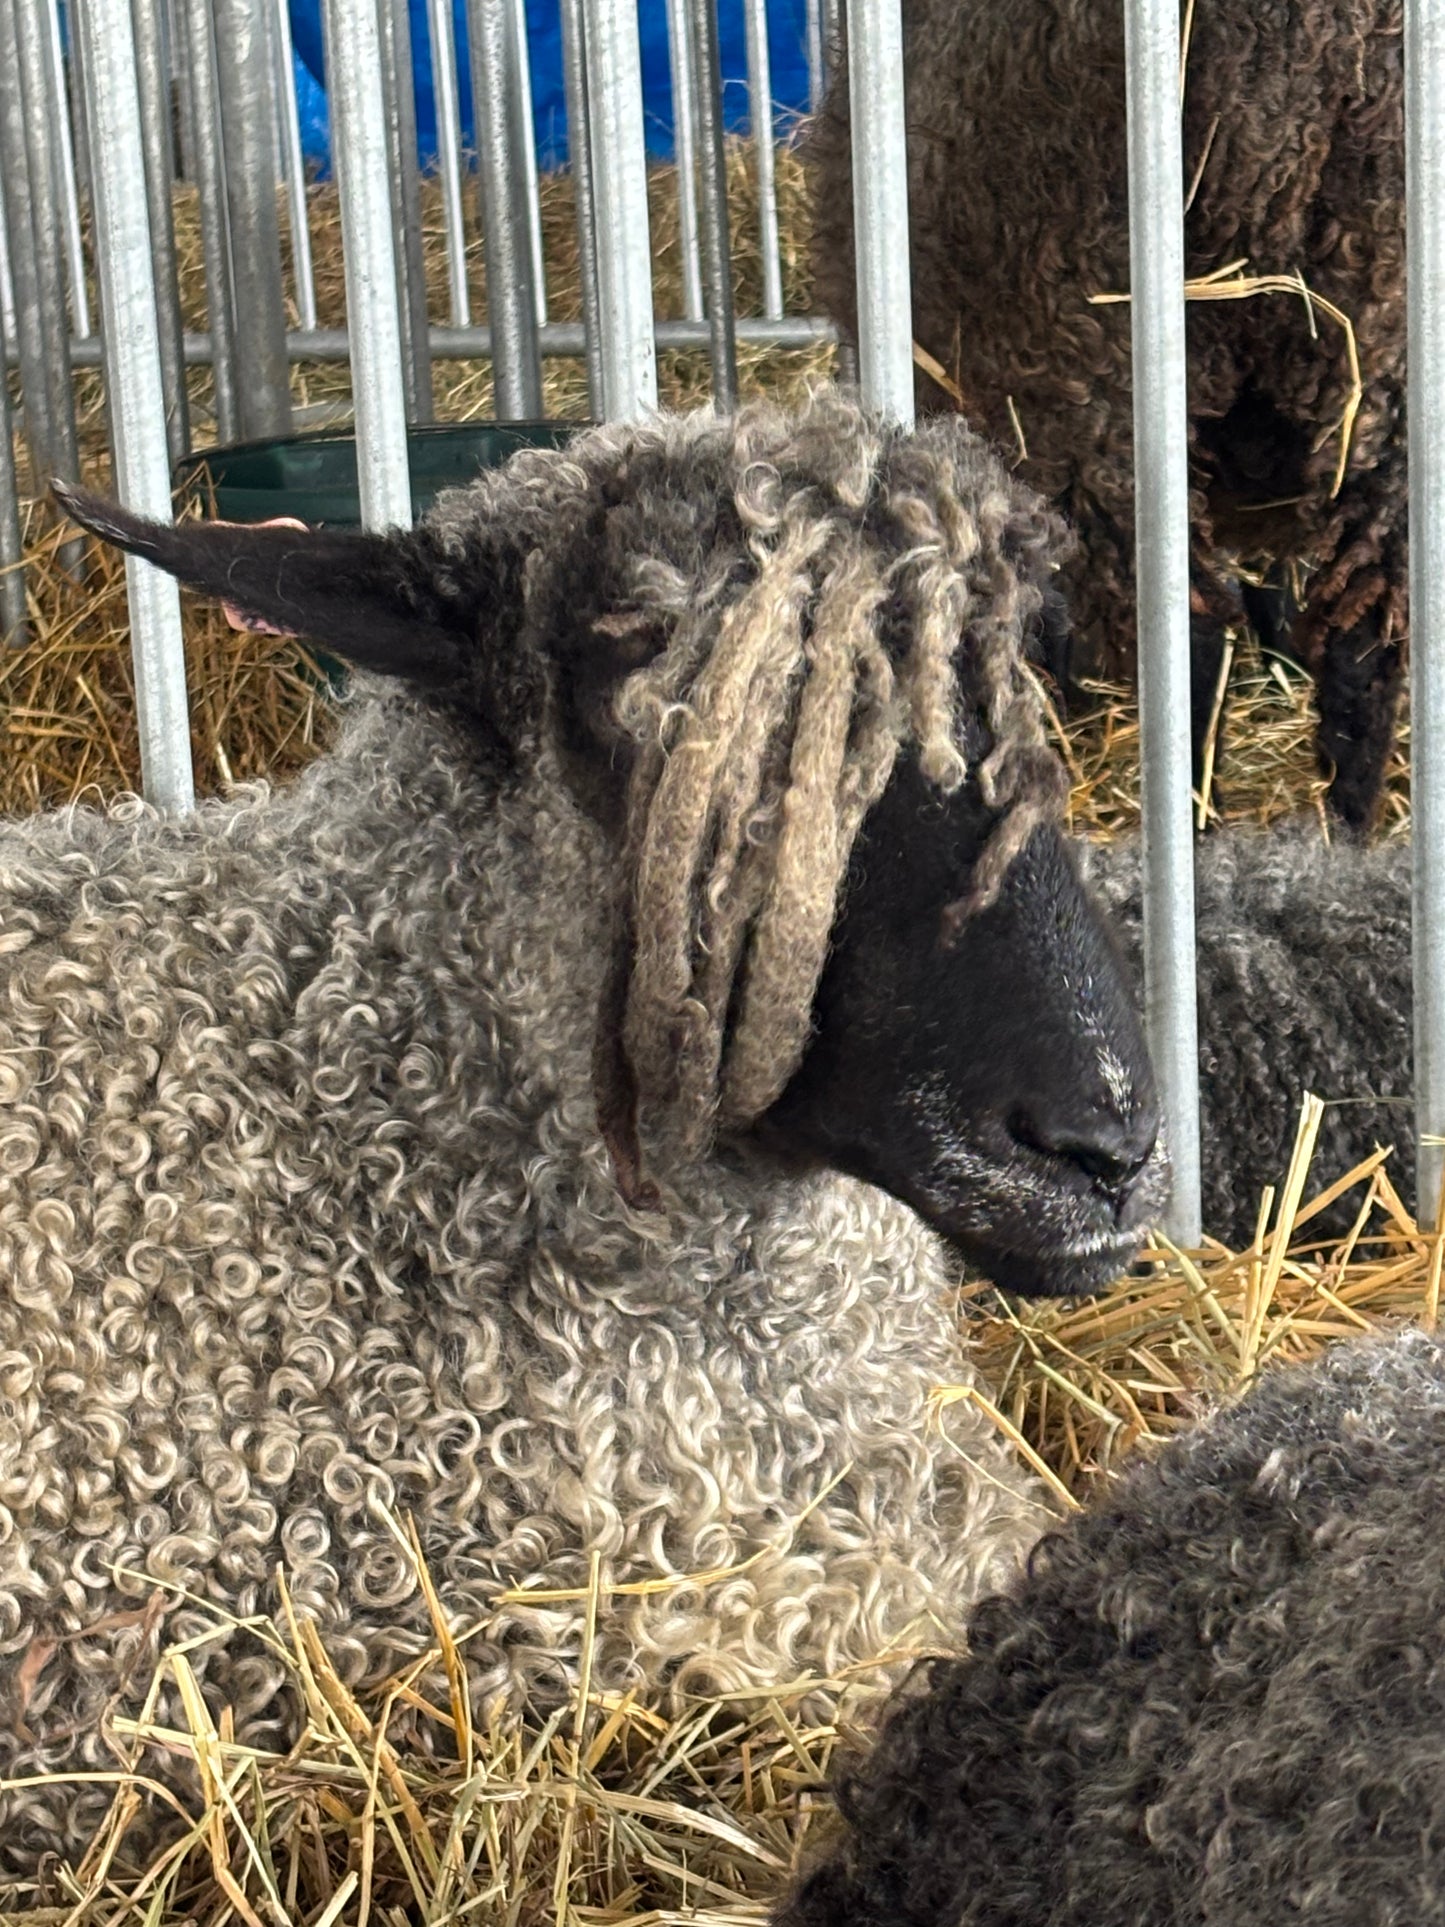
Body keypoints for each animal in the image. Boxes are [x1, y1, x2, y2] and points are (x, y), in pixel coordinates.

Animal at [807, 0, 1406, 830]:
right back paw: (1345, 825)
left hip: (1084, 367)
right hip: (1375, 362)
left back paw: (1196, 819)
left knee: (1189, 635)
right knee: (1364, 639)